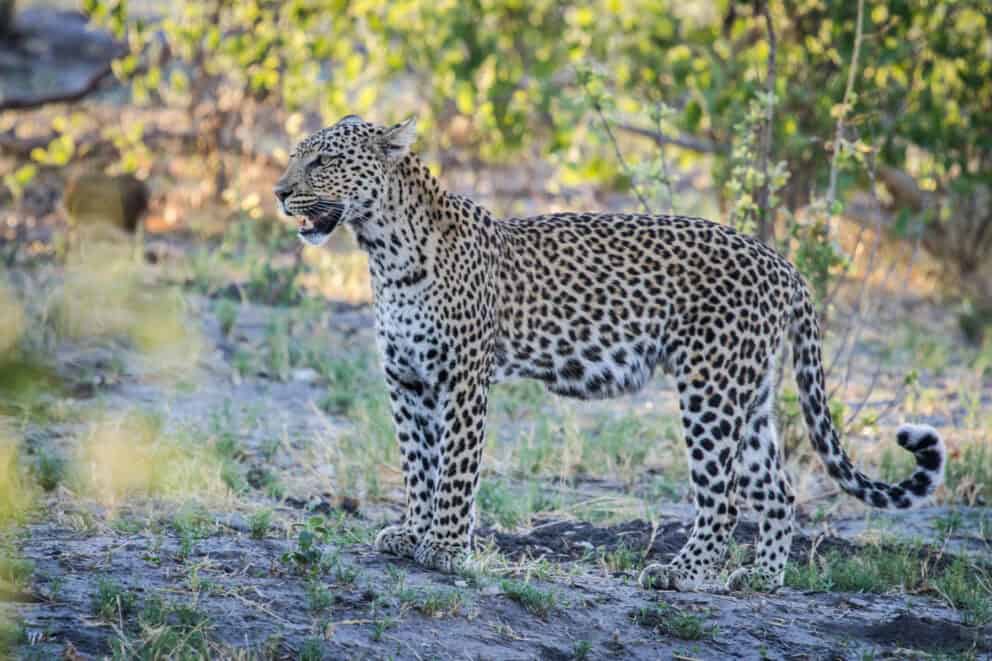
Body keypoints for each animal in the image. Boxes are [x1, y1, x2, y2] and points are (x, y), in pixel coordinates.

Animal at [274, 114, 946, 592]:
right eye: (294, 156)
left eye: (323, 160)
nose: (279, 192)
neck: (383, 250)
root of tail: (783, 264)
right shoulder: (406, 379)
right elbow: (418, 463)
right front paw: (412, 533)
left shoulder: (463, 379)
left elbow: (455, 468)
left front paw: (444, 548)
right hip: (748, 394)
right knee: (778, 490)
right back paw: (759, 578)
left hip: (710, 387)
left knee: (723, 495)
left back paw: (684, 574)